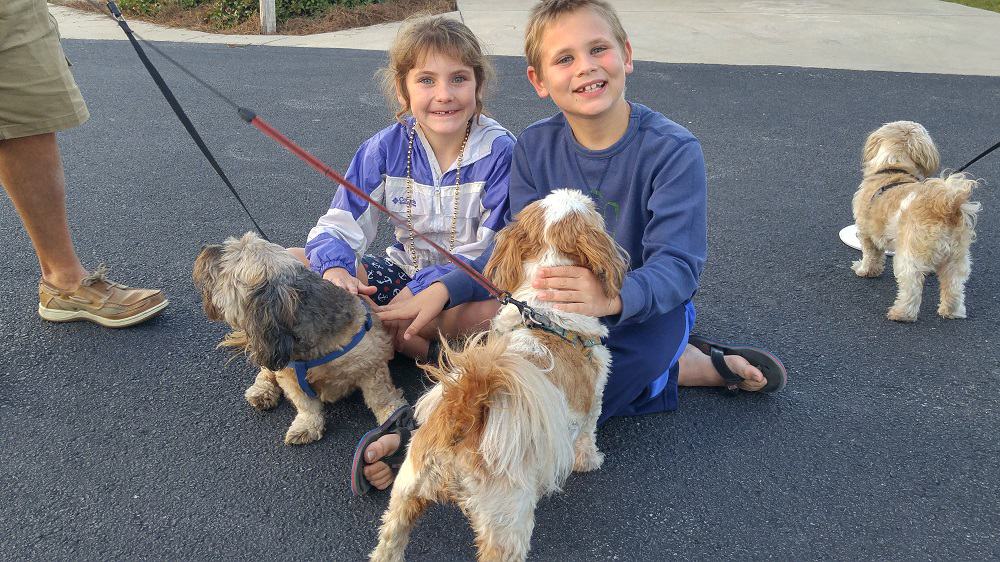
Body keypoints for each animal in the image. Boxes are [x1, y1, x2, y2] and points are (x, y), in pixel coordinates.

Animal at [193, 231, 404, 442]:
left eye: (224, 263)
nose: (203, 248)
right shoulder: (288, 375)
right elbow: (305, 404)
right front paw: (307, 425)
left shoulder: (371, 366)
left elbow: (380, 397)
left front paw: (392, 414)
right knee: (265, 372)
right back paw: (262, 390)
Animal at [372, 190, 628, 560]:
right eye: (594, 211)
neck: (546, 313)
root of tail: (464, 409)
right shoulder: (593, 402)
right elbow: (587, 437)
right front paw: (591, 461)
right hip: (507, 520)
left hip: (406, 493)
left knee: (389, 542)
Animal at [852, 120, 984, 322]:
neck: (894, 168)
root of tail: (945, 206)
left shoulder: (867, 232)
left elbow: (871, 255)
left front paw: (864, 270)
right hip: (956, 259)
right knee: (954, 286)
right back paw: (951, 311)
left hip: (909, 254)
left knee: (911, 285)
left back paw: (901, 313)